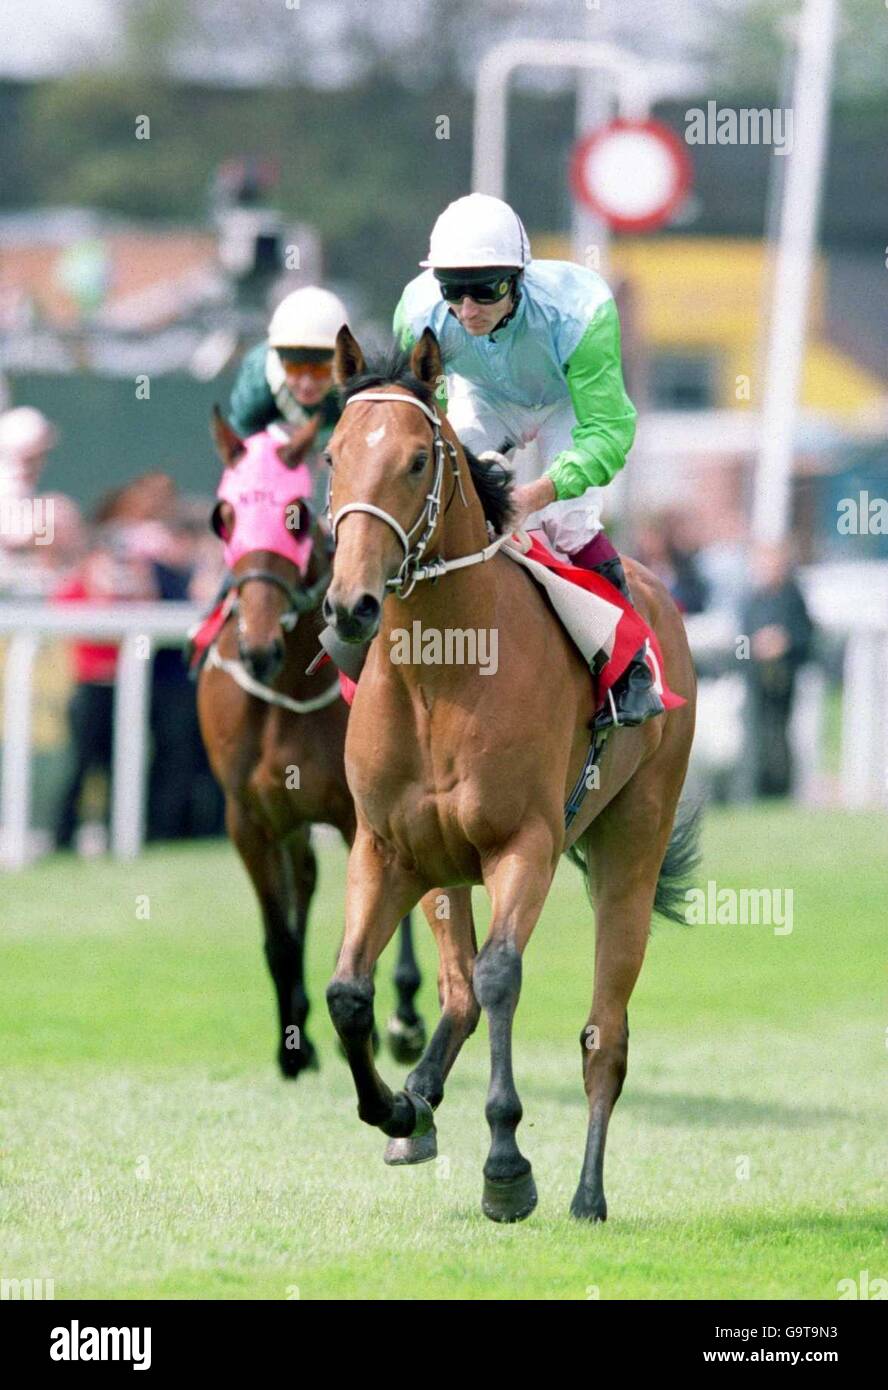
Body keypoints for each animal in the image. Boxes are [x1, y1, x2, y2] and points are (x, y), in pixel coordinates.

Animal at [196, 411, 427, 1079]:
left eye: (294, 514)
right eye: (224, 515)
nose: (258, 647)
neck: (285, 690)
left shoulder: (360, 816)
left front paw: (386, 1027)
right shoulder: (248, 818)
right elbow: (279, 937)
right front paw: (292, 1046)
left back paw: (405, 1019)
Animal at [321, 326, 699, 1223]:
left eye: (416, 461)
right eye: (332, 455)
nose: (351, 605)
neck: (442, 672)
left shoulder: (523, 843)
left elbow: (501, 976)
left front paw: (506, 1164)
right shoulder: (386, 847)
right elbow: (350, 993)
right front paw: (395, 1105)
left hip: (633, 844)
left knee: (604, 1036)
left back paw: (588, 1193)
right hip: (439, 868)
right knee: (455, 990)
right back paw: (418, 1102)